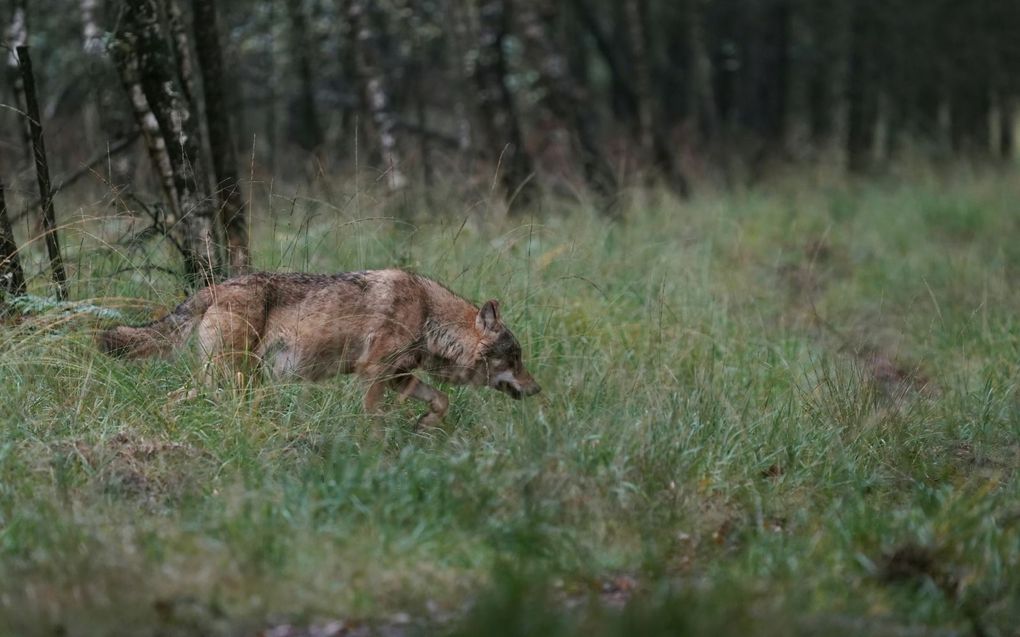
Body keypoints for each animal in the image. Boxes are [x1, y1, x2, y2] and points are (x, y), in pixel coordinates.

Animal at [99, 269, 542, 428]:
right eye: (515, 358)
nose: (538, 390)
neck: (428, 316)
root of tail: (214, 287)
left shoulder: (399, 378)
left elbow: (441, 401)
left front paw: (425, 426)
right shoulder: (374, 376)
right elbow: (372, 419)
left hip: (229, 381)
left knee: (170, 400)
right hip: (232, 379)